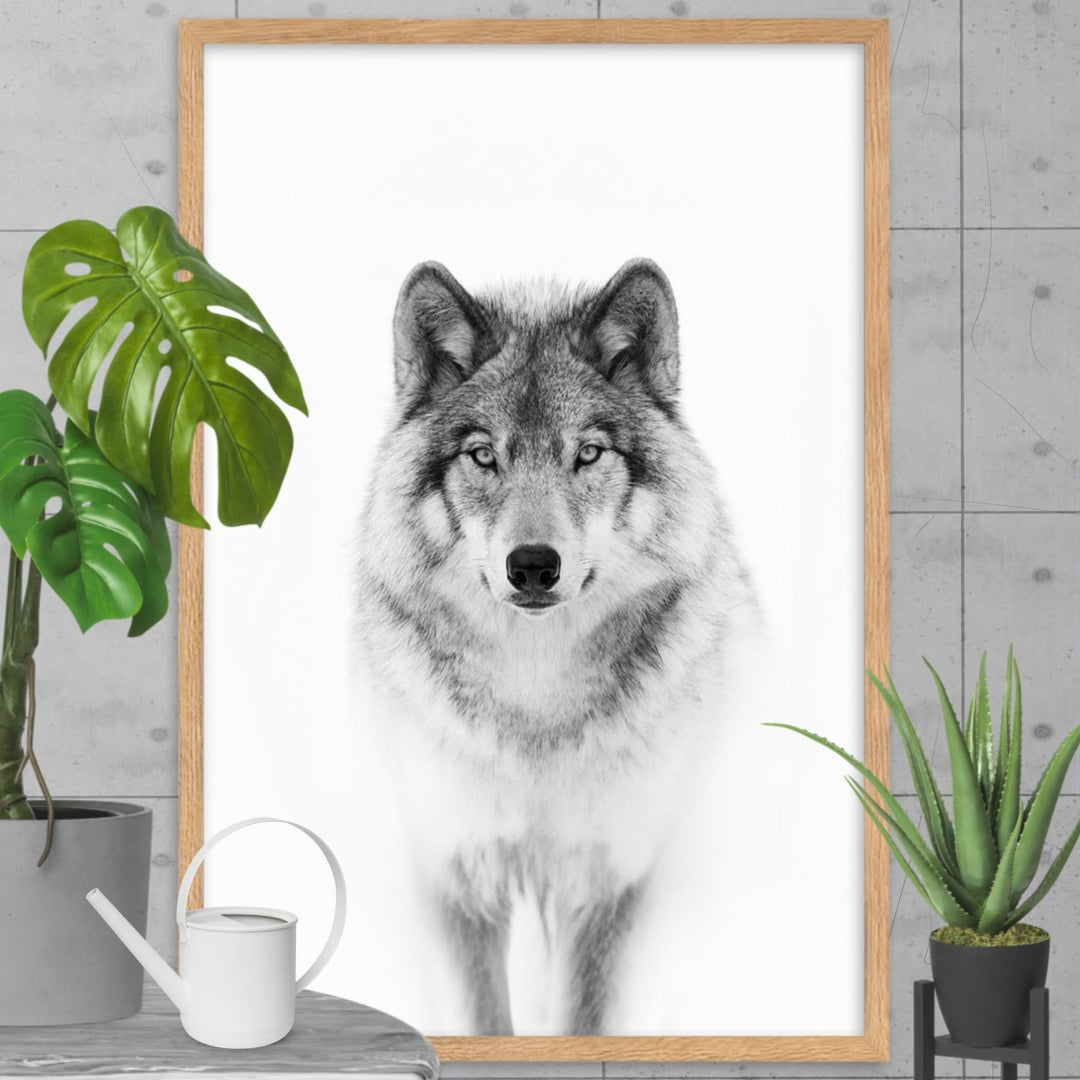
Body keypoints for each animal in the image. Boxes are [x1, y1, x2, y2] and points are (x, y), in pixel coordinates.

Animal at [353, 258, 760, 1036]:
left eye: (588, 454)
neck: (534, 701)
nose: (534, 566)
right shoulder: (458, 875)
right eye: (484, 456)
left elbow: (583, 1020)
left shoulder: (609, 882)